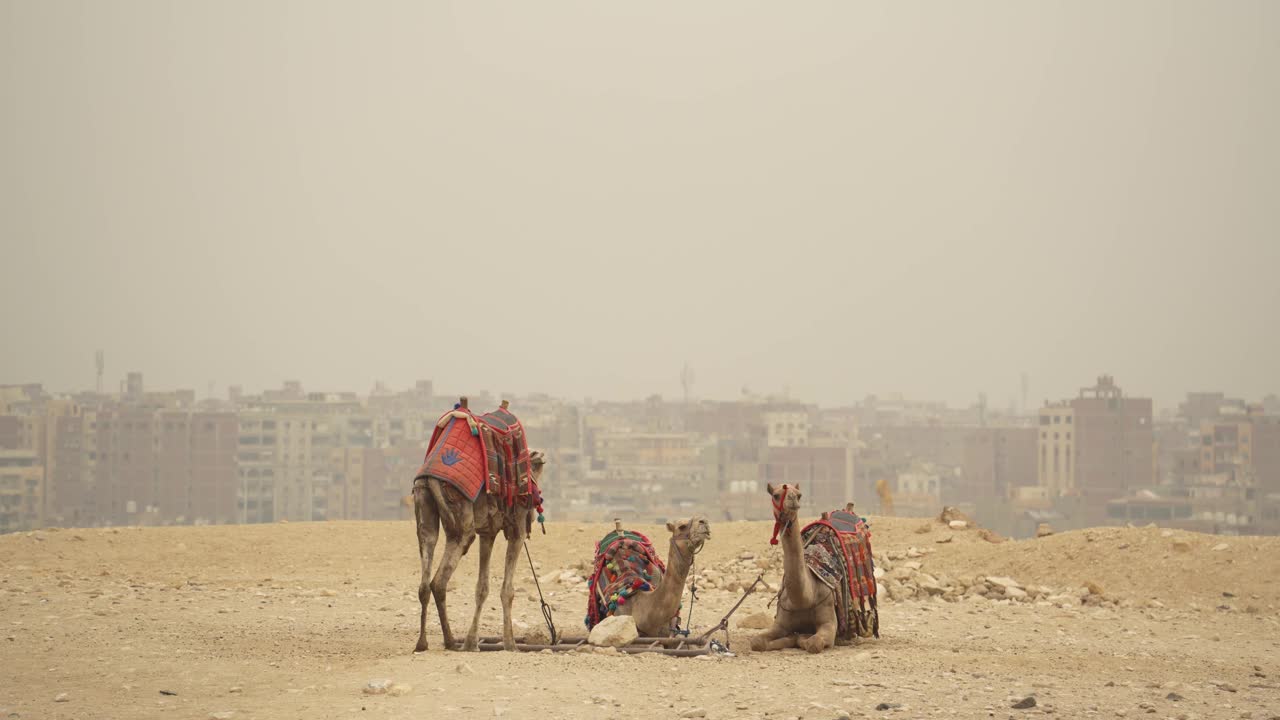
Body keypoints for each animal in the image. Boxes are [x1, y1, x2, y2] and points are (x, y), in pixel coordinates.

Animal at [414, 445, 545, 653]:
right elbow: (507, 590)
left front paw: (471, 642)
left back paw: (422, 643)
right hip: (461, 521)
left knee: (425, 580)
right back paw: (450, 642)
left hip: (424, 508)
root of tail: (430, 479)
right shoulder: (517, 530)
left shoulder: (487, 533)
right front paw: (510, 644)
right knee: (439, 581)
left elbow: (482, 587)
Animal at [747, 481, 844, 650]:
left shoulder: (829, 623)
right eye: (776, 495)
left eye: (799, 495)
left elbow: (814, 643)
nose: (792, 498)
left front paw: (800, 637)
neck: (806, 598)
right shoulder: (780, 623)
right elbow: (757, 642)